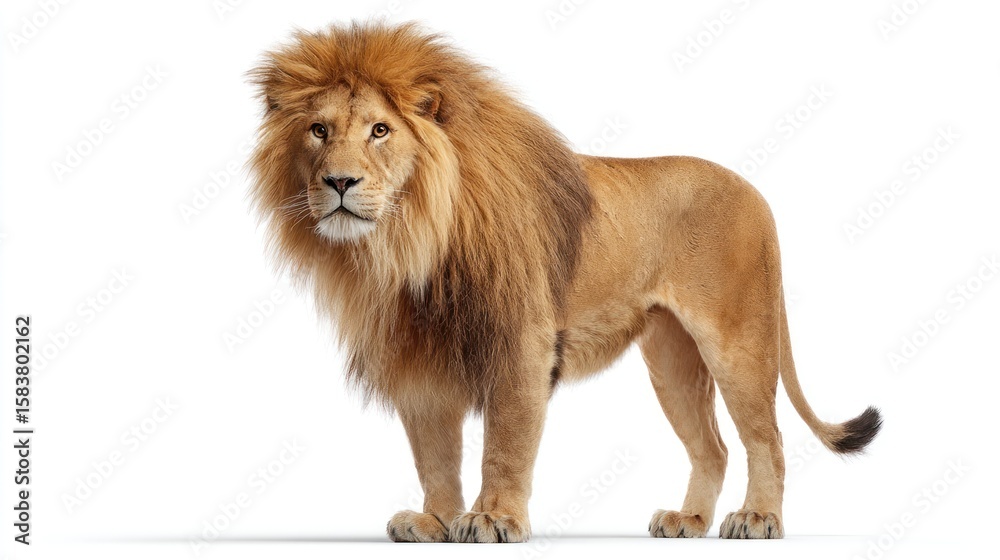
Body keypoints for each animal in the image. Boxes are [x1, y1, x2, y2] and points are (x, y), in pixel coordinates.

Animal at [248, 21, 881, 542]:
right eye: (318, 130)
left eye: (380, 130)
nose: (339, 182)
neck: (406, 242)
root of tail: (756, 192)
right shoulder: (418, 357)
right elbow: (434, 453)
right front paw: (435, 522)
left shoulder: (521, 344)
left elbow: (505, 443)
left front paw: (493, 519)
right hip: (671, 357)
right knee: (715, 447)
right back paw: (688, 521)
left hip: (737, 339)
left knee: (767, 439)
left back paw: (758, 518)